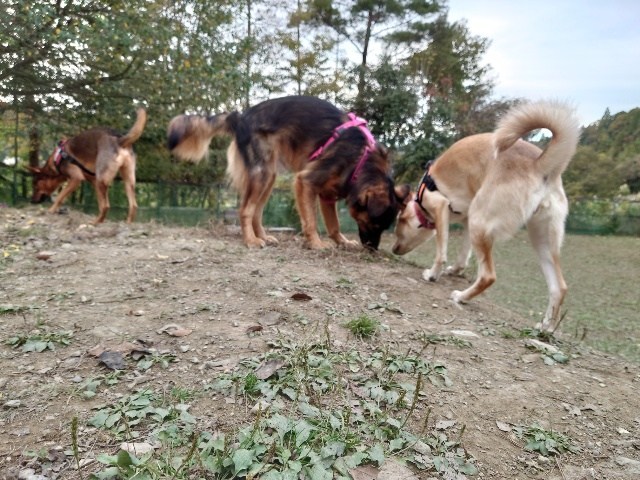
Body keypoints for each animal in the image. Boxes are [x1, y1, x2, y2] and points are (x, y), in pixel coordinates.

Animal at [168, 95, 410, 249]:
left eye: (385, 227)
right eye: (374, 224)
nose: (373, 249)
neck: (362, 162)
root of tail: (240, 116)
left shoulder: (327, 195)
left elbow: (334, 224)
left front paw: (341, 241)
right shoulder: (306, 181)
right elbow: (311, 221)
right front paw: (316, 244)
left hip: (269, 177)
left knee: (256, 212)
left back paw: (263, 236)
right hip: (262, 173)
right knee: (246, 210)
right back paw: (251, 241)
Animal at [392, 100, 584, 334]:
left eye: (399, 224)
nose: (393, 249)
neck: (422, 196)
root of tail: (540, 164)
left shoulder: (442, 207)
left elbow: (441, 252)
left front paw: (433, 274)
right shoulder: (466, 221)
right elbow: (462, 257)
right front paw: (453, 271)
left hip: (481, 222)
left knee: (488, 276)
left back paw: (462, 297)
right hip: (540, 239)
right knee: (559, 287)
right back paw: (546, 327)